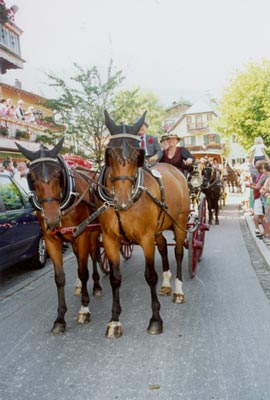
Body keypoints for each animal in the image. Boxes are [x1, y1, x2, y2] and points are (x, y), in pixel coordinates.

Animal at [16, 139, 102, 336]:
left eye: (58, 174)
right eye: (32, 178)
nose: (53, 218)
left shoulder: (82, 234)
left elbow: (83, 271)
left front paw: (84, 309)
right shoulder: (50, 240)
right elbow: (60, 277)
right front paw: (60, 319)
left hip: (93, 232)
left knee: (94, 255)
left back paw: (97, 286)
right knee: (80, 258)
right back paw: (79, 286)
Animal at [86, 111, 190, 340]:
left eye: (137, 155)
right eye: (110, 153)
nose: (122, 200)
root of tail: (175, 171)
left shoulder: (145, 238)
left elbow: (150, 276)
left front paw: (156, 320)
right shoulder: (110, 239)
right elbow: (115, 278)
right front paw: (114, 321)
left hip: (180, 223)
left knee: (178, 252)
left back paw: (178, 290)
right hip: (159, 228)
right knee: (164, 248)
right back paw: (167, 284)